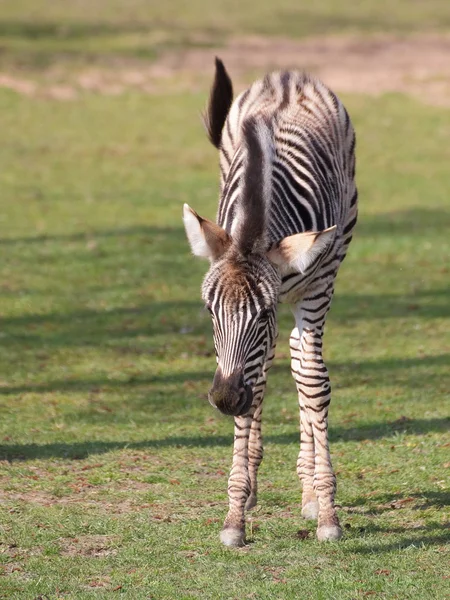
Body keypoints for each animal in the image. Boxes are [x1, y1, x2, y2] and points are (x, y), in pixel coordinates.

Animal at [183, 59, 358, 544]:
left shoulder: (311, 292)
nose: (225, 399)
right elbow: (256, 387)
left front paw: (327, 512)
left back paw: (310, 492)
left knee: (301, 363)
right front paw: (235, 514)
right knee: (268, 376)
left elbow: (313, 382)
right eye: (209, 312)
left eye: (261, 313)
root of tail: (287, 77)